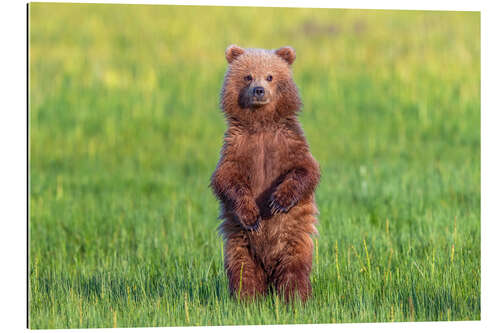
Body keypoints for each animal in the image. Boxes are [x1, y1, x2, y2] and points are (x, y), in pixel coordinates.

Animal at [210, 45, 320, 302]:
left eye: (270, 76)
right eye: (248, 76)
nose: (259, 90)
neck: (261, 124)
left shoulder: (288, 141)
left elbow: (305, 170)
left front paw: (279, 201)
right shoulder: (237, 146)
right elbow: (227, 179)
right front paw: (252, 215)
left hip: (293, 239)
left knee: (294, 269)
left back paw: (295, 298)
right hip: (239, 242)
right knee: (242, 270)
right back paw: (247, 299)